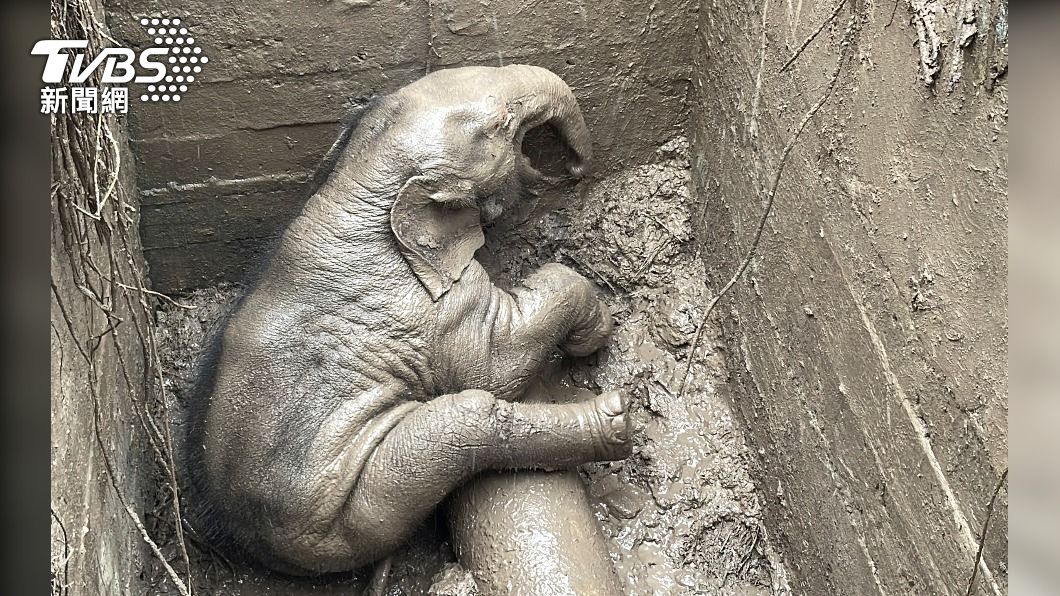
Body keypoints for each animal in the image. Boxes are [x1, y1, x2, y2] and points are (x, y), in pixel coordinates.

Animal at [182, 64, 632, 577]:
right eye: (503, 120)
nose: (575, 170)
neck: (359, 181)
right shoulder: (433, 307)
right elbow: (496, 365)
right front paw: (594, 333)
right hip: (347, 512)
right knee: (467, 419)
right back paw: (614, 419)